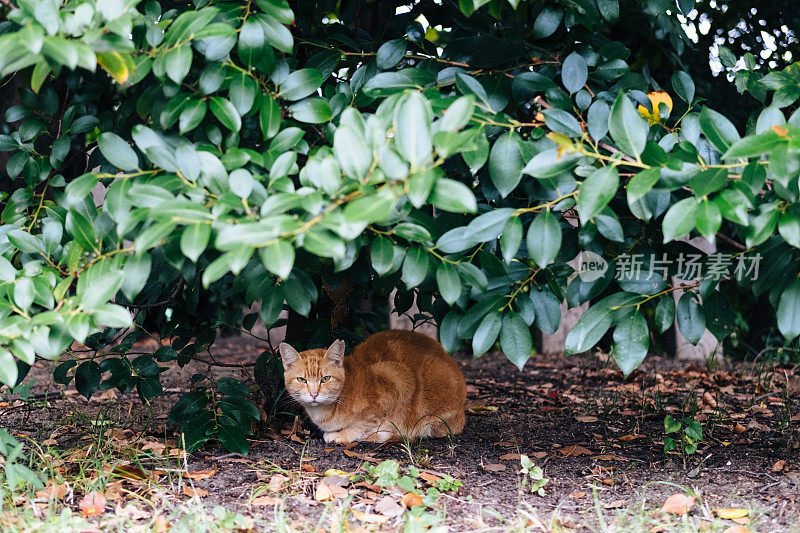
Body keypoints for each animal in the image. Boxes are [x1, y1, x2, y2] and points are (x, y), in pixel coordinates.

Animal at [282, 330, 468, 442]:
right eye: (302, 380)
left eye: (325, 379)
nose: (314, 394)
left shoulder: (393, 379)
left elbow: (362, 425)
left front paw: (343, 435)